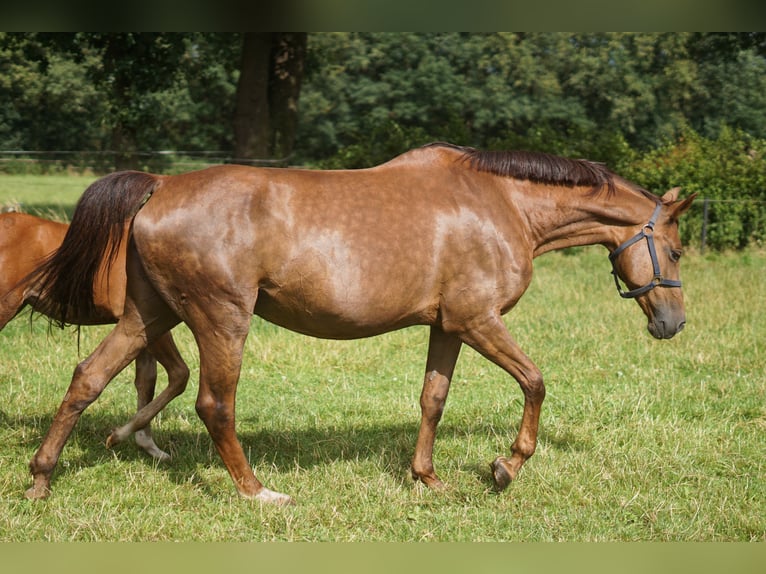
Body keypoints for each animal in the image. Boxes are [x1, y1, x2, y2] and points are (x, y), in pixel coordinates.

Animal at [22, 143, 696, 504]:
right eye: (677, 249)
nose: (672, 323)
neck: (500, 203)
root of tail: (161, 184)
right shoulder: (478, 321)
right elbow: (535, 382)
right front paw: (506, 467)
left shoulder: (448, 326)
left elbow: (432, 399)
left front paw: (427, 479)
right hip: (221, 320)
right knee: (214, 404)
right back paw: (257, 492)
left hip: (147, 315)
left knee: (87, 379)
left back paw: (42, 479)